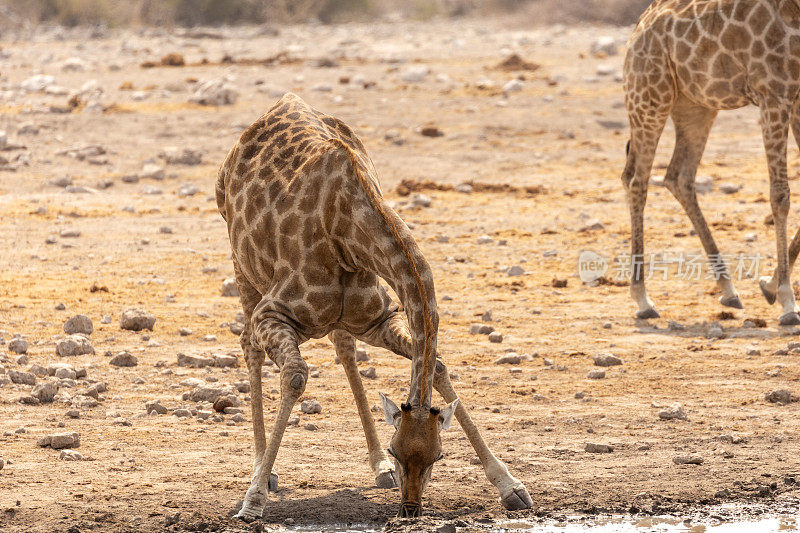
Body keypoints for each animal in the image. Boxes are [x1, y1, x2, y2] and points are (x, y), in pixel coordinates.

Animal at [216, 92, 536, 520]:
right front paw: (253, 500)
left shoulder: (382, 317)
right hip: (242, 265)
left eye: (437, 457)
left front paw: (510, 486)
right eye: (395, 449)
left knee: (344, 347)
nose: (410, 509)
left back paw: (375, 469)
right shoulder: (274, 313)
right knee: (249, 346)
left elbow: (435, 364)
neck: (345, 233)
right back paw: (262, 472)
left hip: (341, 318)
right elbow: (296, 376)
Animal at [620, 0, 800, 324]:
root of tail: (640, 24)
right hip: (650, 96)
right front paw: (787, 300)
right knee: (638, 180)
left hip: (695, 105)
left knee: (677, 176)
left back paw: (728, 289)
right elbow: (780, 195)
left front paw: (769, 286)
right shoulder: (774, 93)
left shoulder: (797, 97)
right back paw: (643, 299)